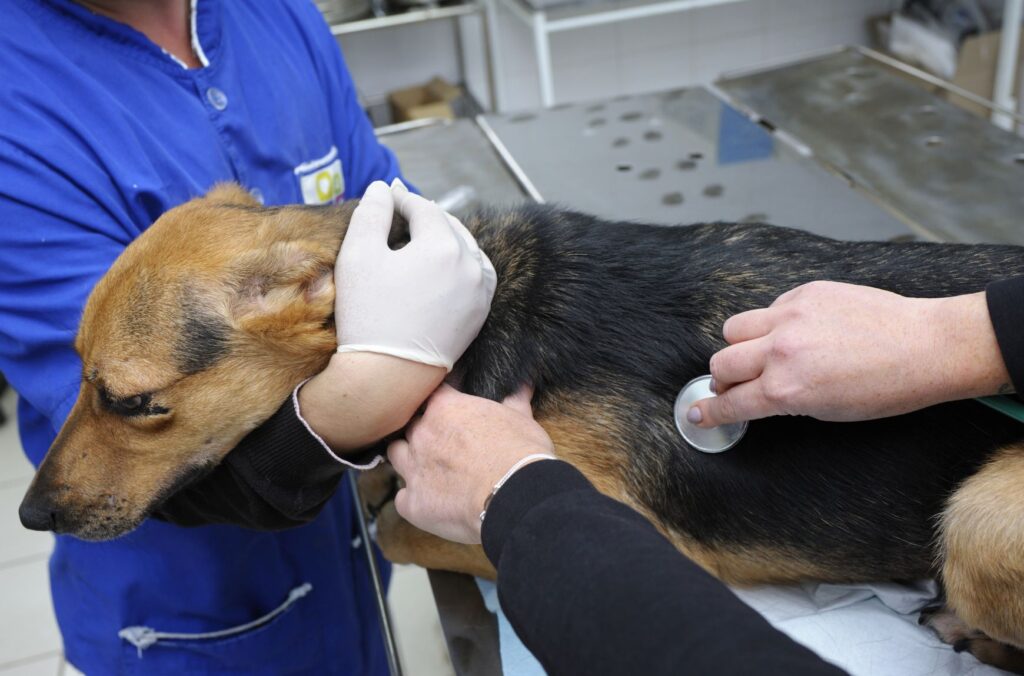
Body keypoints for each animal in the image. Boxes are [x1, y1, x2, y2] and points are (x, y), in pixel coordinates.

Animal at [14, 183, 1024, 671]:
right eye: (74, 370)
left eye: (133, 402)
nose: (29, 517)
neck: (477, 319)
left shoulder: (644, 529)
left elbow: (399, 522)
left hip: (980, 520)